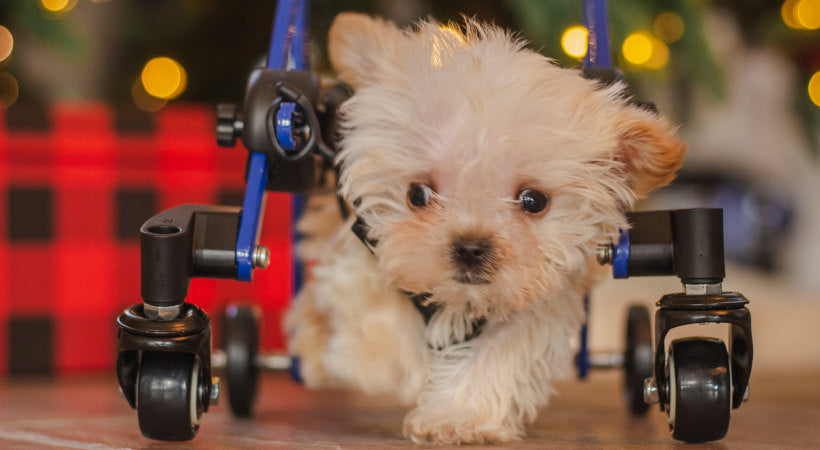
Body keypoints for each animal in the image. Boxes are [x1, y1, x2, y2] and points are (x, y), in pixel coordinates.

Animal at [288, 12, 684, 444]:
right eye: (417, 194)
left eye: (534, 200)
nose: (470, 248)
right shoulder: (361, 253)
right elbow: (378, 315)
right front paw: (387, 365)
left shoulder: (540, 297)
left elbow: (499, 356)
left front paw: (457, 416)